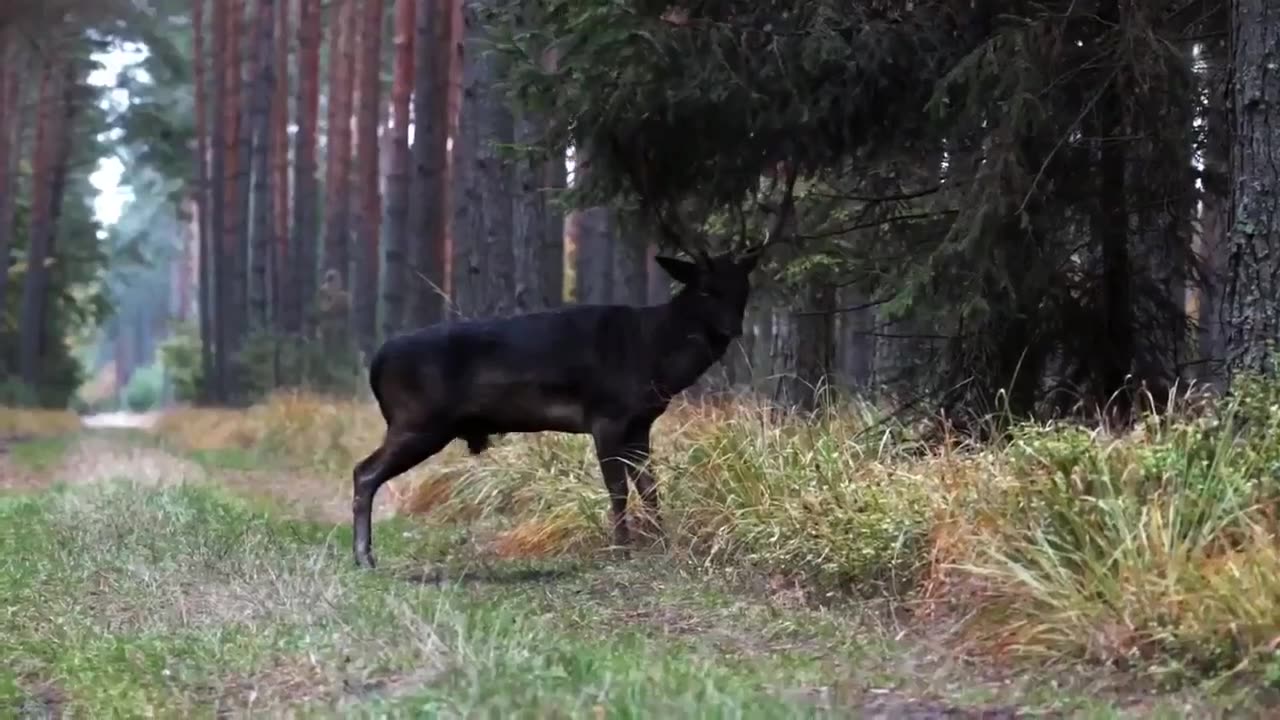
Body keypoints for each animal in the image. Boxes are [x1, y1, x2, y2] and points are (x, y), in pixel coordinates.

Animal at [345, 156, 793, 566]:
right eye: (704, 289)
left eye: (741, 287)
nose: (733, 328)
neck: (654, 356)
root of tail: (377, 362)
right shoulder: (605, 414)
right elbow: (618, 488)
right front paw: (621, 550)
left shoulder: (640, 422)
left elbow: (650, 487)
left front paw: (661, 544)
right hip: (418, 419)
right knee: (363, 471)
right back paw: (364, 558)